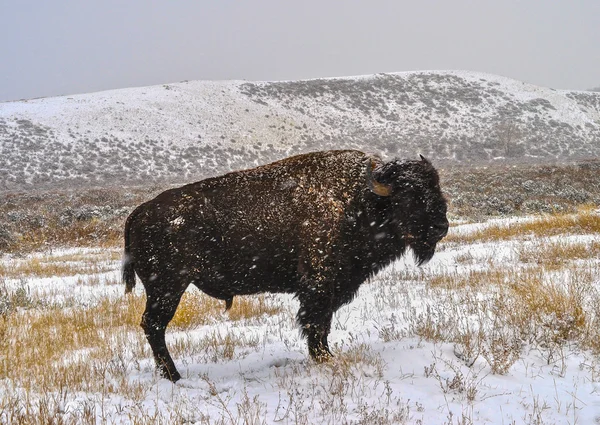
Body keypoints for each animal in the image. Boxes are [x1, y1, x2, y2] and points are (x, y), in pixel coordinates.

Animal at [123, 150, 450, 380]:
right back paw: (175, 376)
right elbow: (317, 325)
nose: (441, 227)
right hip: (167, 288)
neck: (359, 201)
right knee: (154, 325)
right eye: (409, 194)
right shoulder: (319, 287)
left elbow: (320, 325)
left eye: (436, 187)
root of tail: (138, 213)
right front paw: (325, 359)